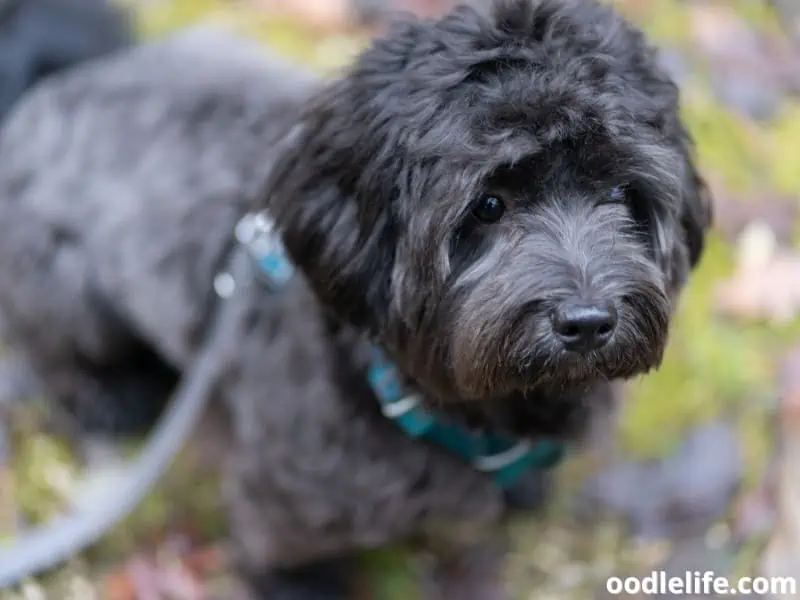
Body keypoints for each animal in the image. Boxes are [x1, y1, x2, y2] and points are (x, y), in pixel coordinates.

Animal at [0, 1, 712, 596]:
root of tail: (54, 82)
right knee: (59, 358)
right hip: (68, 295)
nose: (588, 322)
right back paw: (116, 400)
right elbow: (284, 552)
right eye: (488, 205)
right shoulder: (285, 495)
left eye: (620, 192)